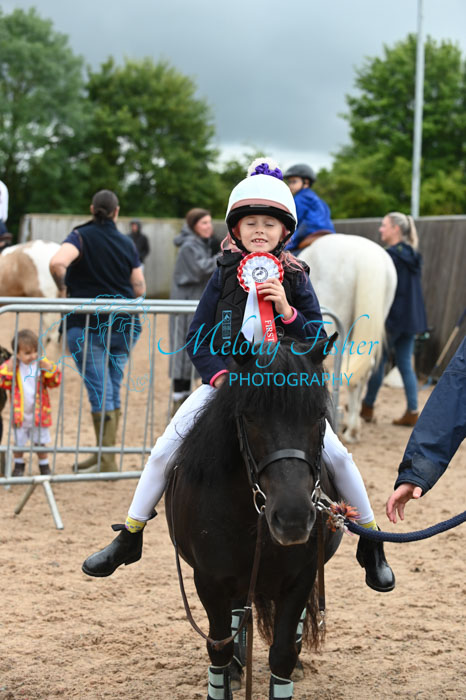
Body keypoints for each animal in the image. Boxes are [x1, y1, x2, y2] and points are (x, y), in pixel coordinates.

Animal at [165, 335, 342, 699]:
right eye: (248, 417)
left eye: (319, 415)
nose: (292, 519)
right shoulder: (209, 580)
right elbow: (218, 646)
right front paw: (225, 676)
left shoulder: (300, 578)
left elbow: (283, 653)